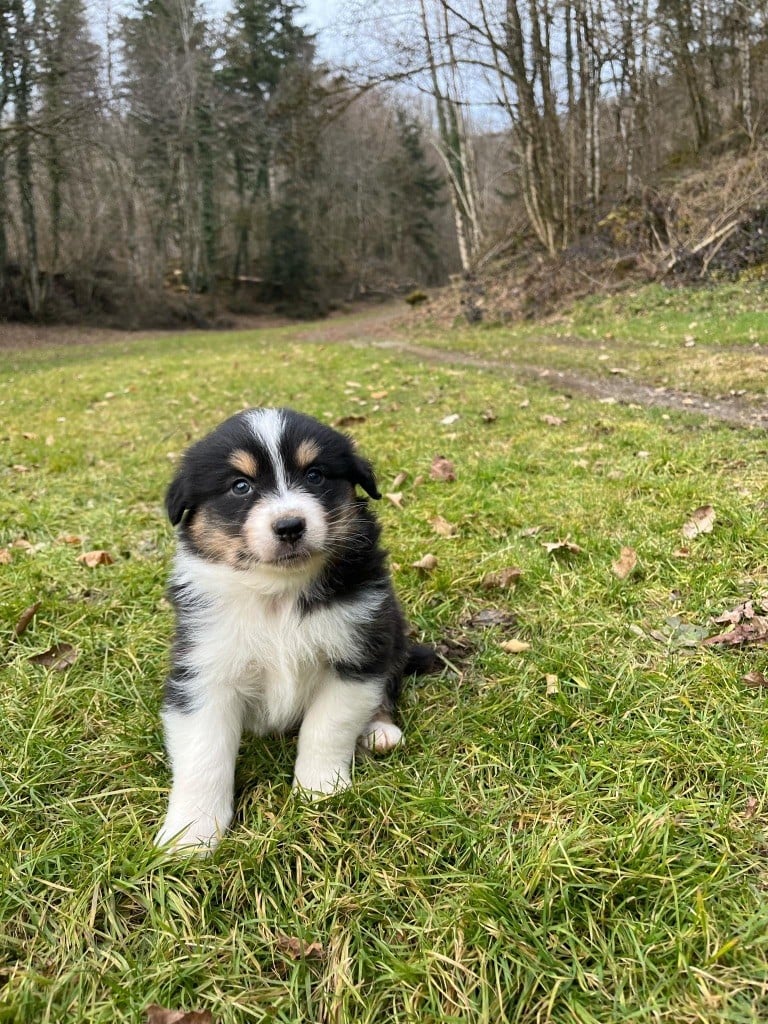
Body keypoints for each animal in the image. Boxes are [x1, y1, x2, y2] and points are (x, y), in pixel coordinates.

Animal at [156, 403, 434, 851]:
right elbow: (204, 755)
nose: (290, 526)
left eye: (315, 475)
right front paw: (191, 835)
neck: (279, 594)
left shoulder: (356, 654)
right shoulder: (203, 671)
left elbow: (326, 728)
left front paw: (320, 790)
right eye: (240, 486)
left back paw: (379, 729)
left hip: (390, 630)